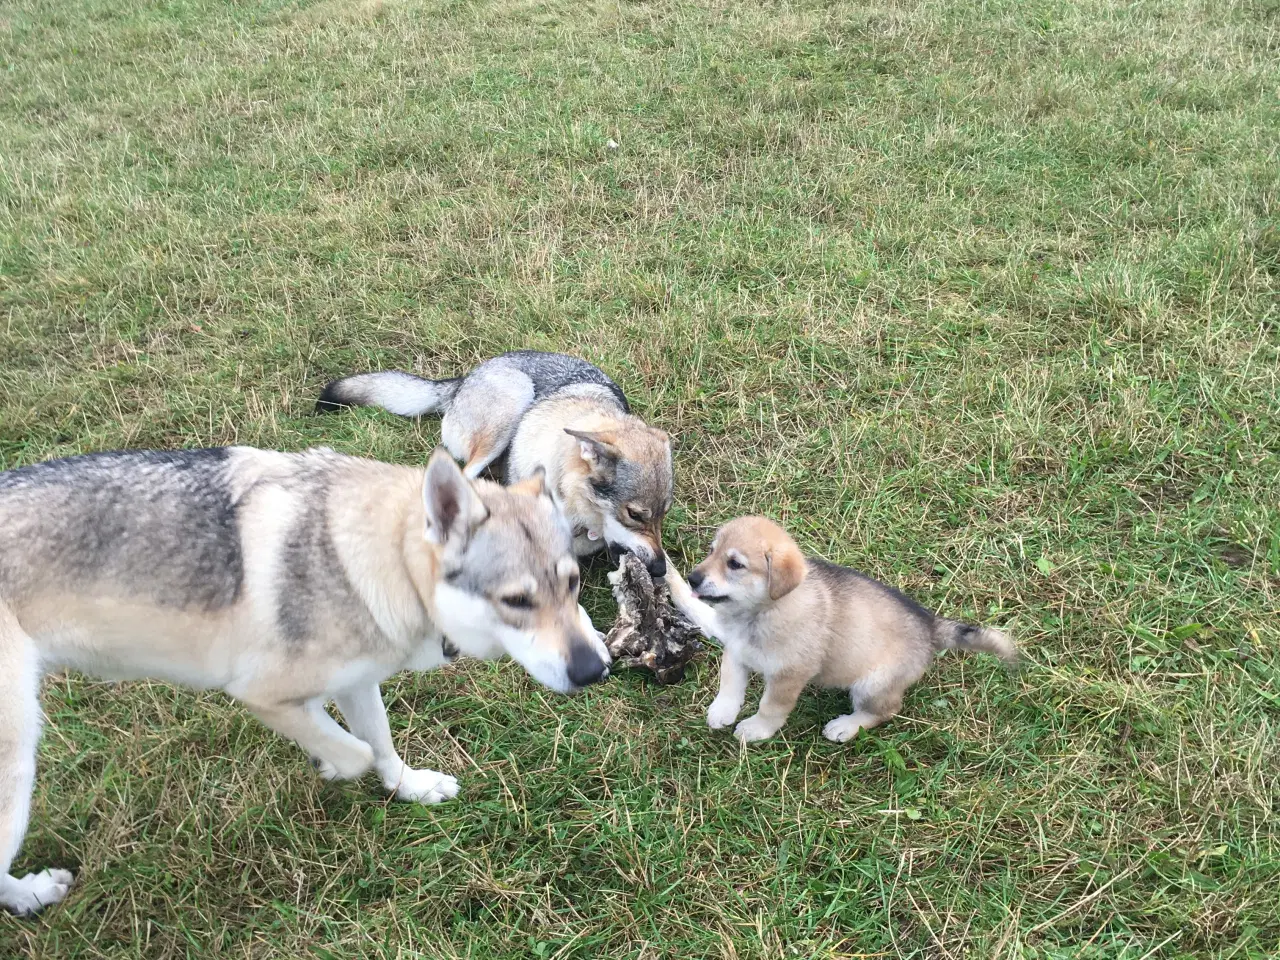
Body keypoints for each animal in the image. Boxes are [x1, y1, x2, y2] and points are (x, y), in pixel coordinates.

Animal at [665, 519, 1013, 742]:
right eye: (711, 551)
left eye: (735, 564)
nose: (693, 578)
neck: (761, 612)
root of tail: (930, 625)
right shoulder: (737, 650)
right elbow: (729, 683)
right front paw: (722, 711)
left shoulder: (789, 674)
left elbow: (770, 707)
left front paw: (755, 730)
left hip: (872, 685)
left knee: (886, 711)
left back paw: (846, 727)